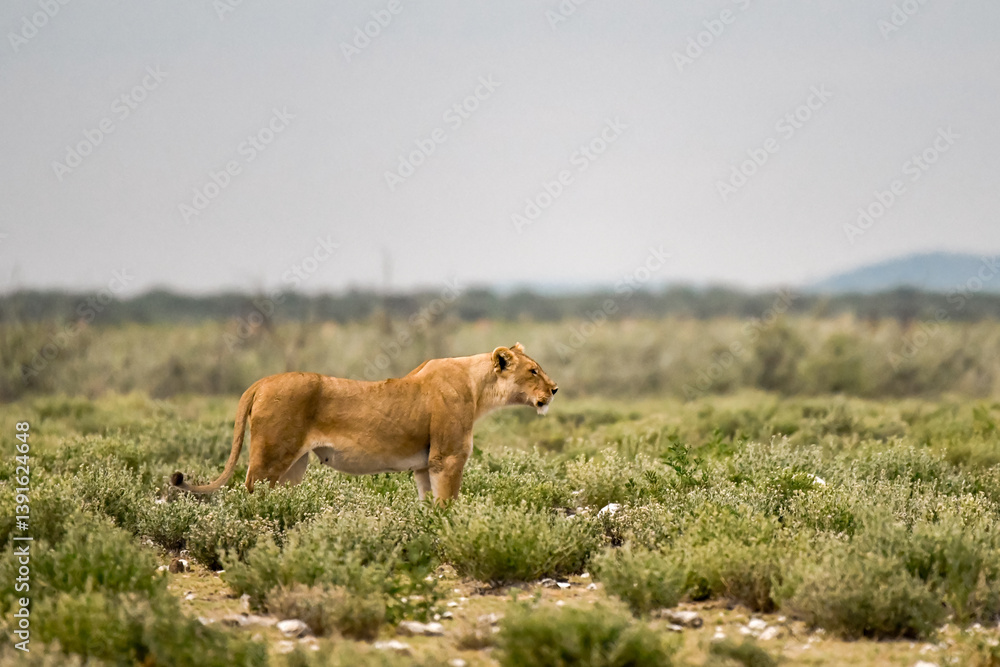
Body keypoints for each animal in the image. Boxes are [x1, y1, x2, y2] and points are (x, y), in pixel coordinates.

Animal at [170, 343, 558, 504]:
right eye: (532, 371)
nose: (554, 389)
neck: (478, 388)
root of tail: (261, 382)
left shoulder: (425, 465)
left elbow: (428, 504)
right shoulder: (448, 458)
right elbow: (448, 504)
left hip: (294, 465)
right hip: (269, 457)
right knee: (250, 491)